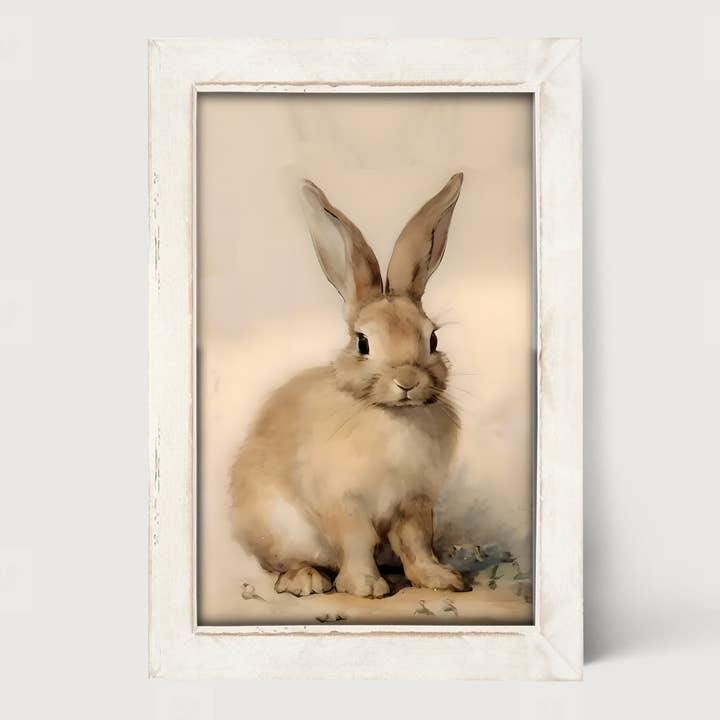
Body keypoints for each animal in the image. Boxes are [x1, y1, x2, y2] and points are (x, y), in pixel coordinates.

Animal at [230, 173, 466, 598]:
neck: (391, 416)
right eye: (363, 343)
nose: (407, 381)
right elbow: (355, 542)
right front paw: (366, 587)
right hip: (279, 528)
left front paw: (440, 579)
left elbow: (417, 542)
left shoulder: (414, 502)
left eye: (433, 338)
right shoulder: (344, 502)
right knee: (286, 564)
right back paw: (306, 580)